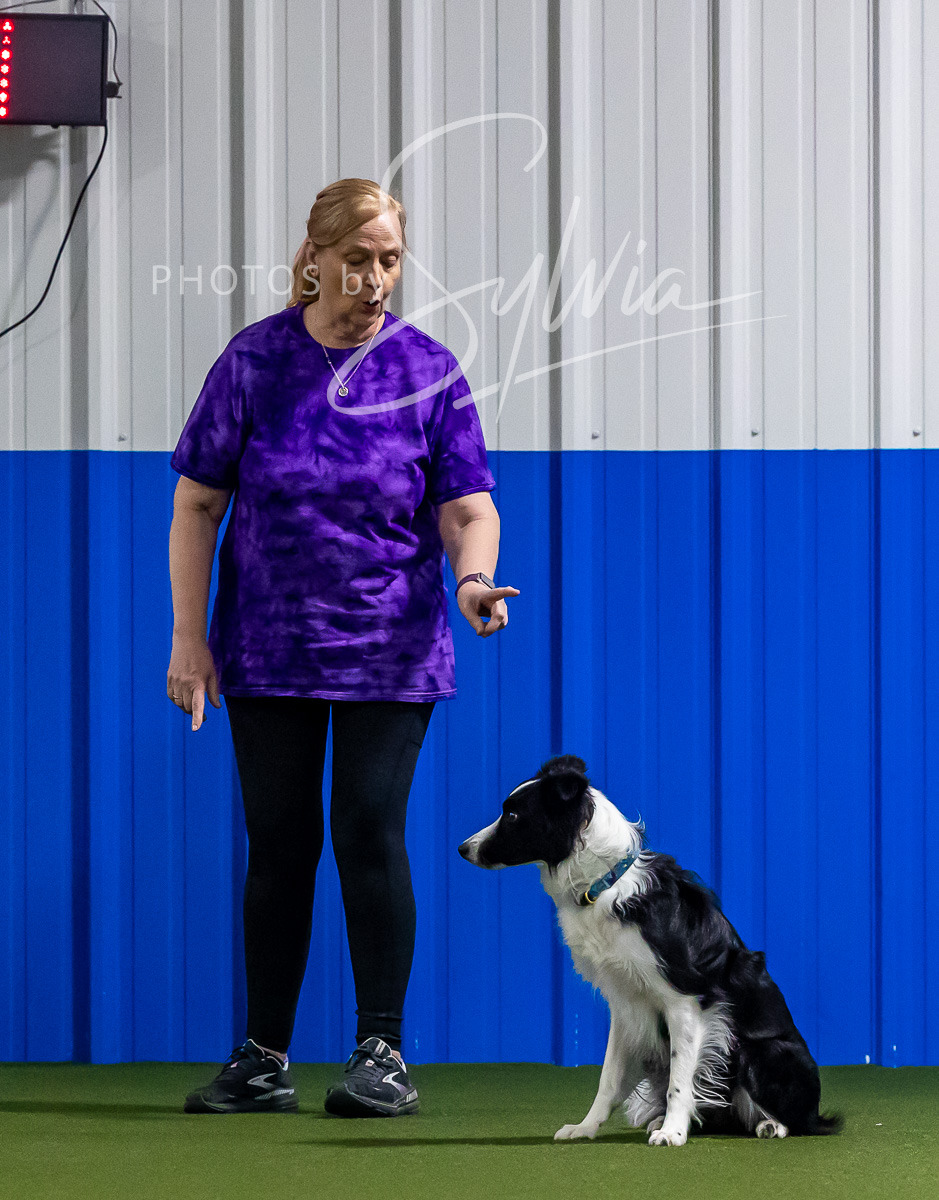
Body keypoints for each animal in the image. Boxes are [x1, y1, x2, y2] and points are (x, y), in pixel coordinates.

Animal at [458, 754, 844, 1146]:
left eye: (512, 815)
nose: (462, 848)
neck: (605, 883)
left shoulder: (685, 1002)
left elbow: (680, 1079)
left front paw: (673, 1132)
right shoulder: (624, 1003)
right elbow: (609, 1077)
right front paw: (585, 1127)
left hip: (763, 1051)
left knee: (798, 1120)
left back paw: (770, 1124)